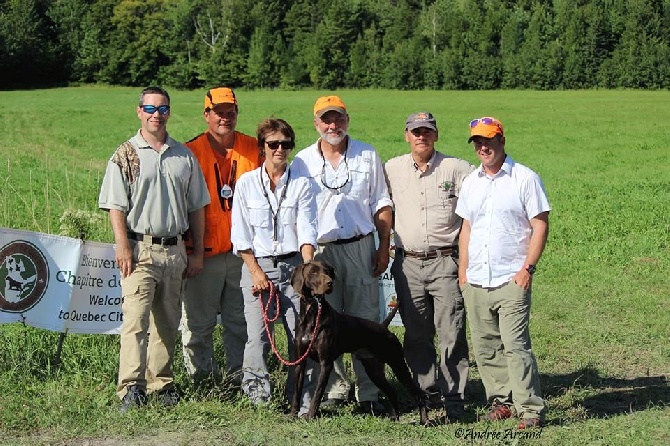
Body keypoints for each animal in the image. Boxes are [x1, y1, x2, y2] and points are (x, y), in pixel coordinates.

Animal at [290, 262, 428, 426]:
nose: (329, 283)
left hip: (398, 364)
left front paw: (310, 416)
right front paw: (292, 415)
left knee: (419, 394)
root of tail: (383, 326)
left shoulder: (326, 363)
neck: (312, 313)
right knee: (392, 392)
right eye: (313, 272)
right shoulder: (300, 362)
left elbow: (317, 394)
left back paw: (424, 421)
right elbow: (296, 392)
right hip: (374, 370)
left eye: (327, 271)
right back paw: (394, 418)